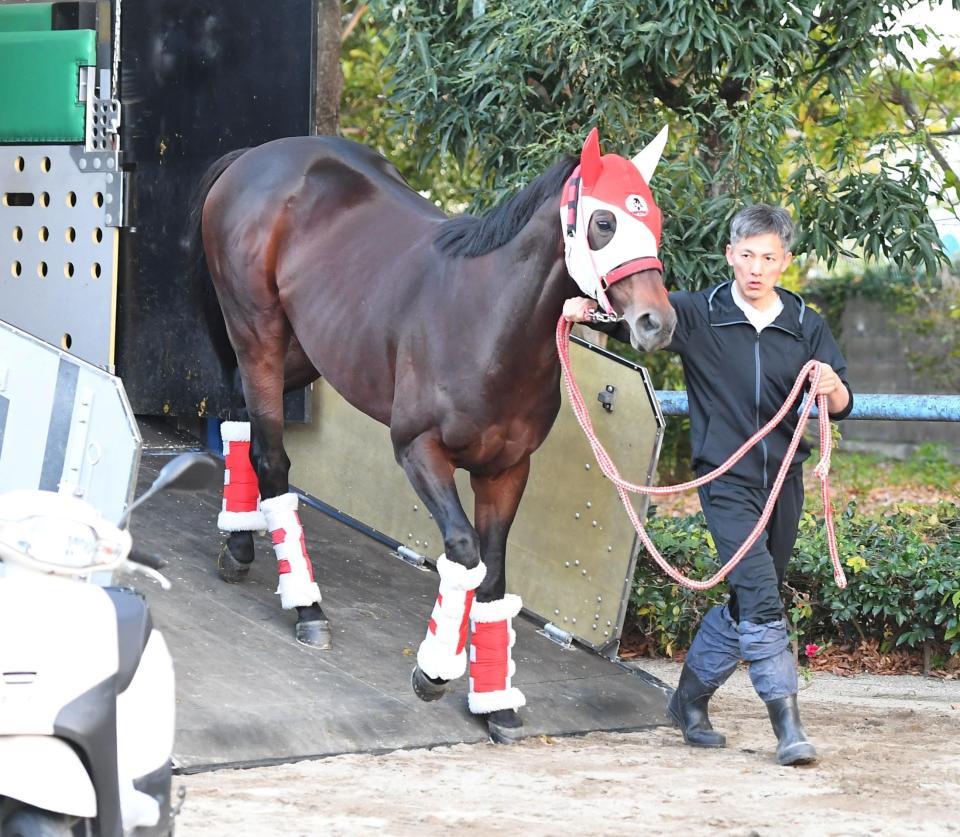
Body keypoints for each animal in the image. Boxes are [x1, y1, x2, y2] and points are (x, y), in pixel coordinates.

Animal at [189, 129, 676, 740]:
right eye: (604, 221)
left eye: (654, 218)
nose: (658, 323)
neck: (490, 325)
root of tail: (257, 156)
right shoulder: (419, 449)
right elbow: (465, 554)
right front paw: (434, 672)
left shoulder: (507, 470)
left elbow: (494, 578)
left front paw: (496, 704)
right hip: (259, 334)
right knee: (271, 454)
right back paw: (306, 606)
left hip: (308, 351)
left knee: (240, 416)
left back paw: (239, 543)